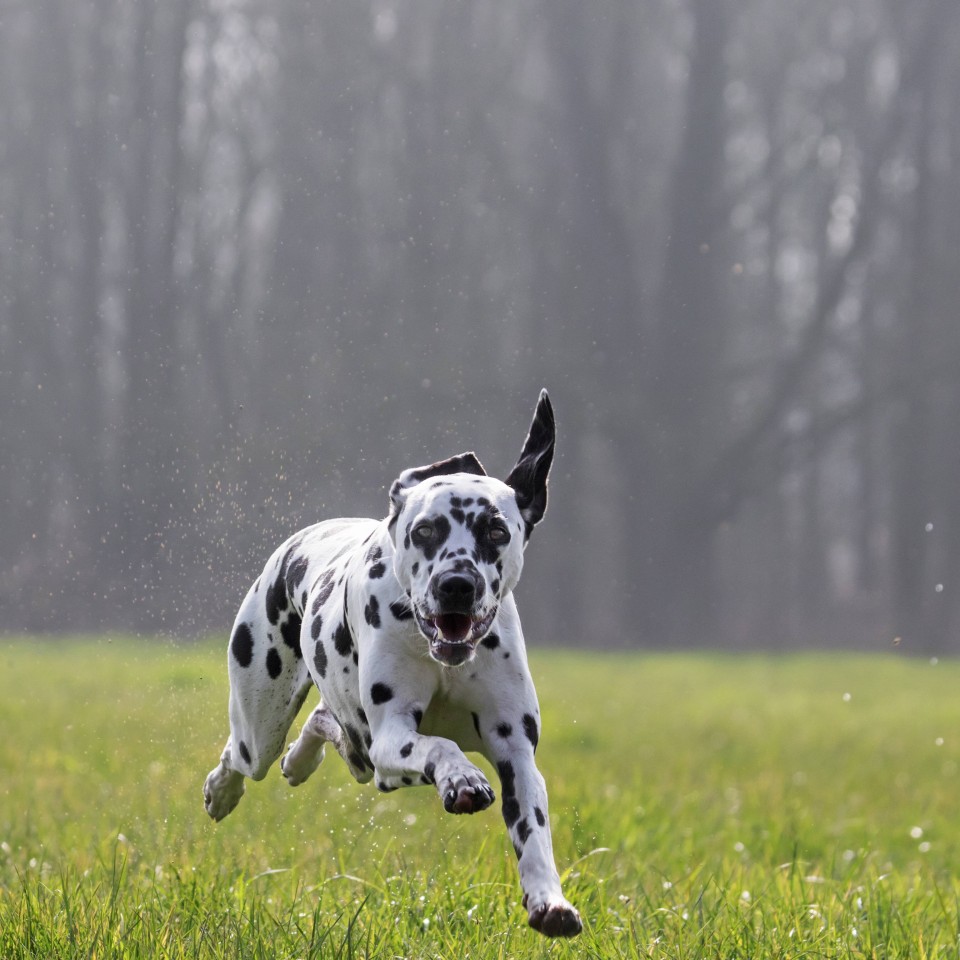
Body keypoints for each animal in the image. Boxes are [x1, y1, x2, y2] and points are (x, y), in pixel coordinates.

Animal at [202, 390, 580, 936]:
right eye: (425, 531)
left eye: (495, 530)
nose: (456, 584)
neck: (443, 659)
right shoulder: (391, 736)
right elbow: (441, 744)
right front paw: (462, 778)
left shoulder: (516, 751)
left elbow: (534, 832)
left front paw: (550, 902)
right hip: (264, 729)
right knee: (241, 754)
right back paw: (222, 790)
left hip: (360, 756)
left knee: (325, 724)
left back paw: (300, 760)